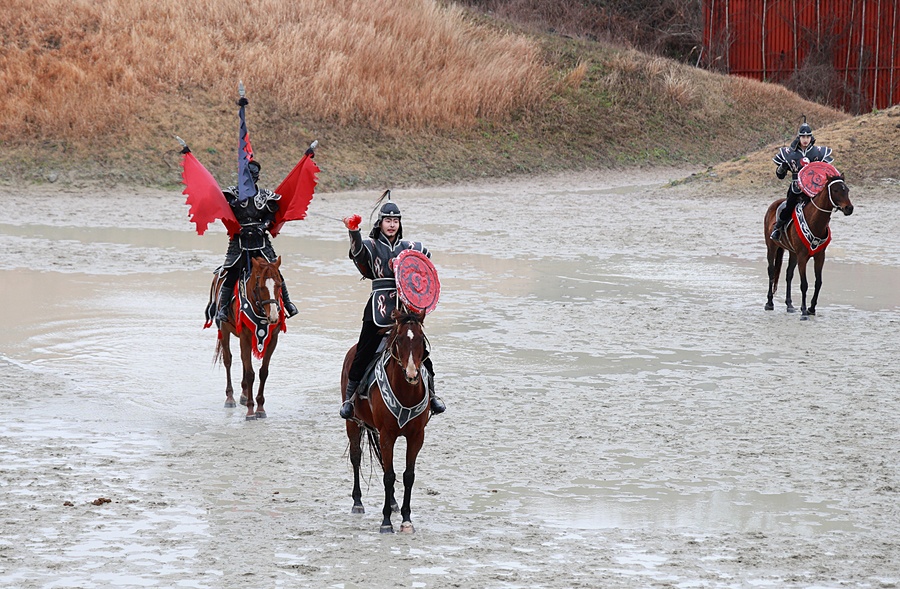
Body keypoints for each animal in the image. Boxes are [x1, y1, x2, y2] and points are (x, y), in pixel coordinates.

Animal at [213, 256, 284, 418]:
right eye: (261, 287)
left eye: (279, 285)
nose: (274, 317)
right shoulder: (245, 336)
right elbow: (250, 373)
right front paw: (251, 411)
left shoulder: (272, 339)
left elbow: (263, 372)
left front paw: (260, 408)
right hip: (224, 329)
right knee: (228, 360)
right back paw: (230, 398)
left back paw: (244, 395)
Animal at [342, 308, 432, 532]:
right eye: (399, 339)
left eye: (421, 339)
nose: (412, 373)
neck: (406, 392)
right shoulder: (387, 435)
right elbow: (389, 476)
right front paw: (386, 522)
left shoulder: (416, 436)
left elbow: (408, 476)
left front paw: (406, 520)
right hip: (352, 423)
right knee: (356, 457)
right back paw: (358, 503)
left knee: (384, 463)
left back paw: (392, 503)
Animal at [768, 172, 852, 320]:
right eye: (835, 190)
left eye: (846, 190)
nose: (849, 208)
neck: (815, 222)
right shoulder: (802, 257)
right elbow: (804, 284)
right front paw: (803, 312)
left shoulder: (819, 256)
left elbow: (818, 282)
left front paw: (811, 308)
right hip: (771, 246)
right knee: (771, 271)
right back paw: (769, 303)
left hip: (792, 253)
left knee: (788, 274)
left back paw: (789, 305)